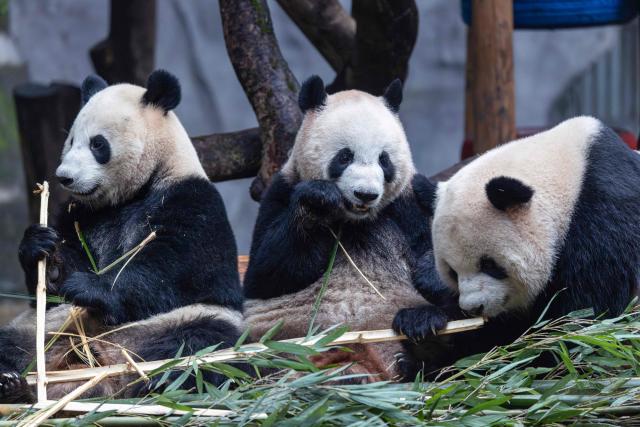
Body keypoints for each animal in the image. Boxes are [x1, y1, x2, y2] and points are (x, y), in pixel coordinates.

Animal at [3, 70, 244, 402]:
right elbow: (54, 287)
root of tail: (103, 360)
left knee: (199, 347)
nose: (65, 177)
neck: (130, 194)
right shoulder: (78, 215)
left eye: (97, 144)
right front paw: (43, 249)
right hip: (42, 329)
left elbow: (170, 268)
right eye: (71, 140)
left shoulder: (191, 201)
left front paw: (90, 287)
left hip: (185, 322)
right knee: (11, 343)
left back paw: (157, 382)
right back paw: (14, 385)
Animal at [243, 76, 446, 381]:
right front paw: (318, 200)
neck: (355, 220)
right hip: (274, 341)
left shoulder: (408, 203)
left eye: (384, 160)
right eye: (345, 156)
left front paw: (431, 276)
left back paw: (419, 331)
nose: (366, 194)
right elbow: (267, 275)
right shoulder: (281, 191)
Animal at [399, 116, 640, 361]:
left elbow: (580, 320)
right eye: (452, 272)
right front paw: (421, 324)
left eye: (489, 264)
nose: (473, 308)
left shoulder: (603, 218)